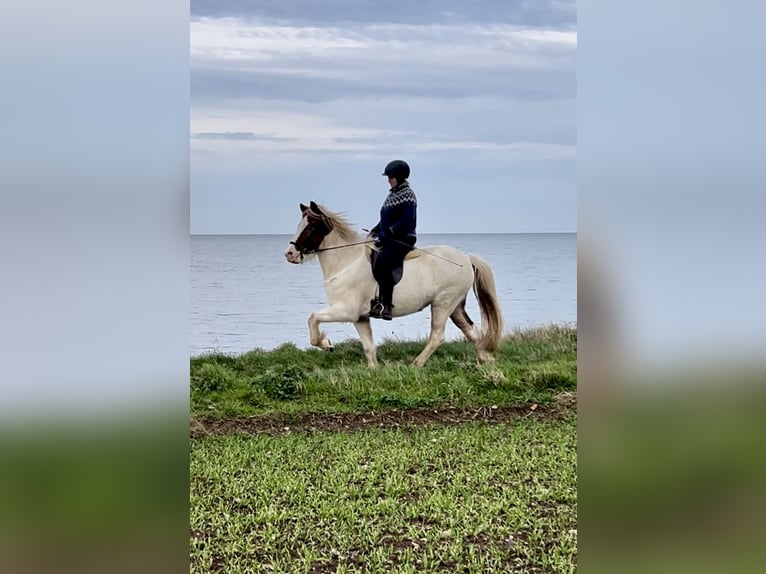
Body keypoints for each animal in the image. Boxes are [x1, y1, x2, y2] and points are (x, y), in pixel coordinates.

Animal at [283, 201, 504, 367]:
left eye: (311, 227)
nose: (289, 254)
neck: (346, 261)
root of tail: (466, 258)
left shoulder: (346, 310)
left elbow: (313, 318)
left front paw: (326, 343)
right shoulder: (360, 317)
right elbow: (368, 345)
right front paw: (373, 369)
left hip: (443, 302)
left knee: (438, 335)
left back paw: (416, 364)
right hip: (455, 305)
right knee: (470, 329)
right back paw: (485, 359)